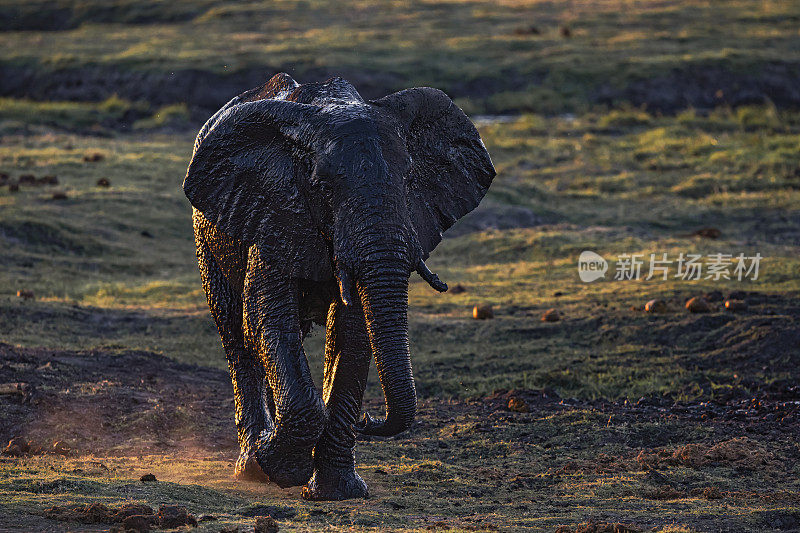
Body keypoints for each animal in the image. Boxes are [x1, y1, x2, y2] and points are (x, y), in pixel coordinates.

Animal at [185, 71, 496, 498]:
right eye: (323, 188)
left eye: (409, 180)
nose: (369, 419)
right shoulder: (274, 213)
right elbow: (266, 320)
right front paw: (280, 468)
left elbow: (352, 336)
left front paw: (337, 492)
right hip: (209, 234)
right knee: (236, 335)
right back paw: (251, 465)